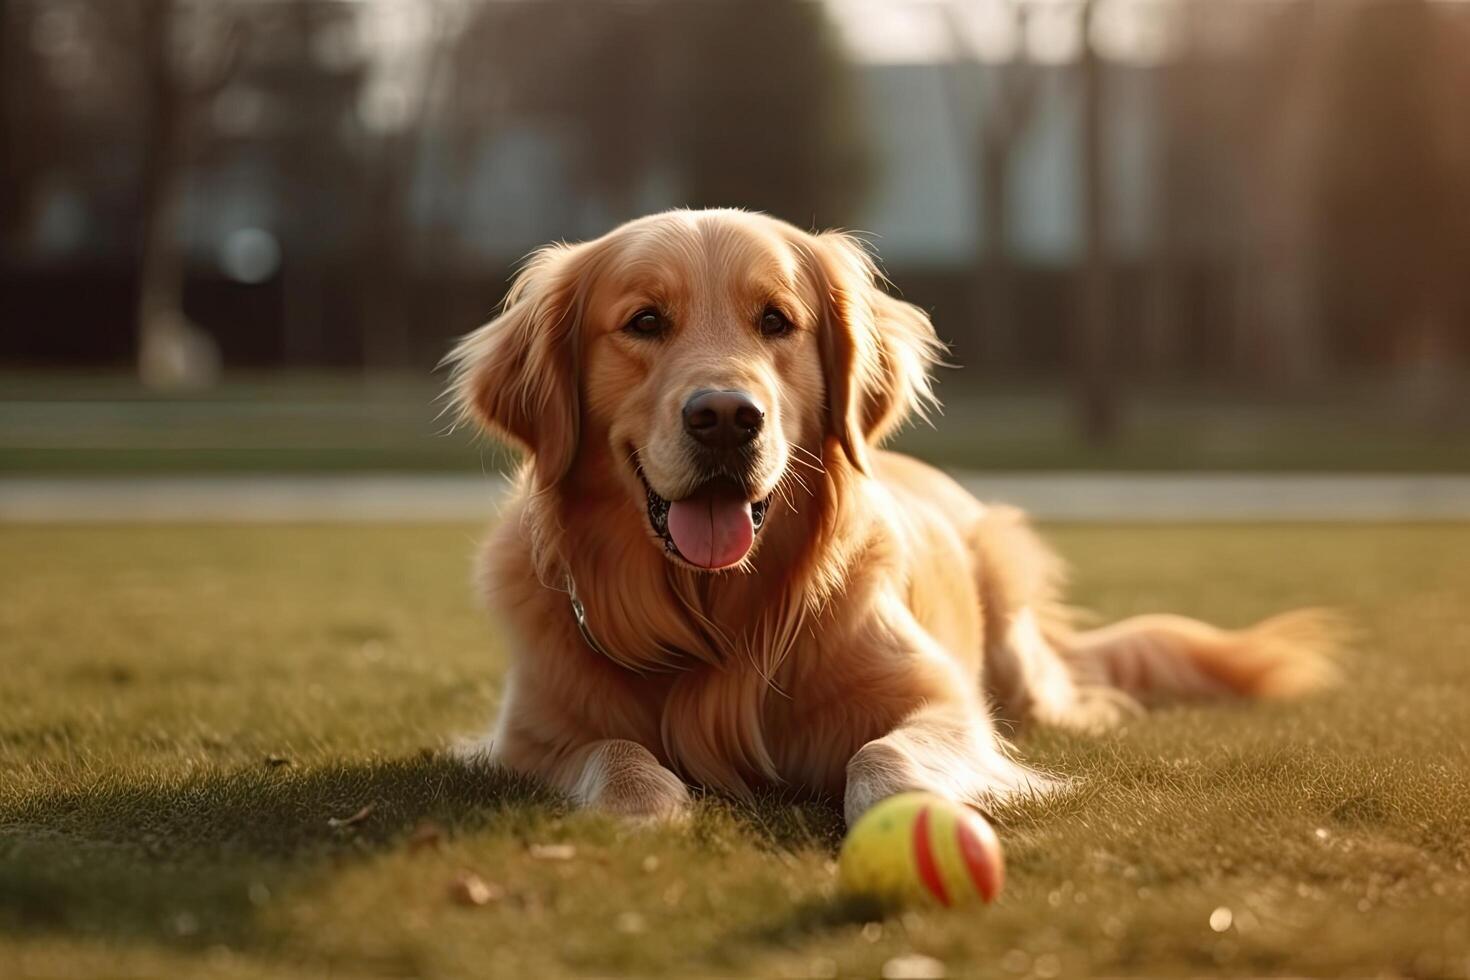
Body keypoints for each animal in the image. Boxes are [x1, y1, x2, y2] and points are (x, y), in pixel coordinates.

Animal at [449, 208, 1346, 828]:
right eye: (643, 322)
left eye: (776, 320)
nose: (727, 418)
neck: (719, 621)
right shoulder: (527, 734)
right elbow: (613, 751)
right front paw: (646, 809)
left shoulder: (943, 702)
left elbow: (885, 752)